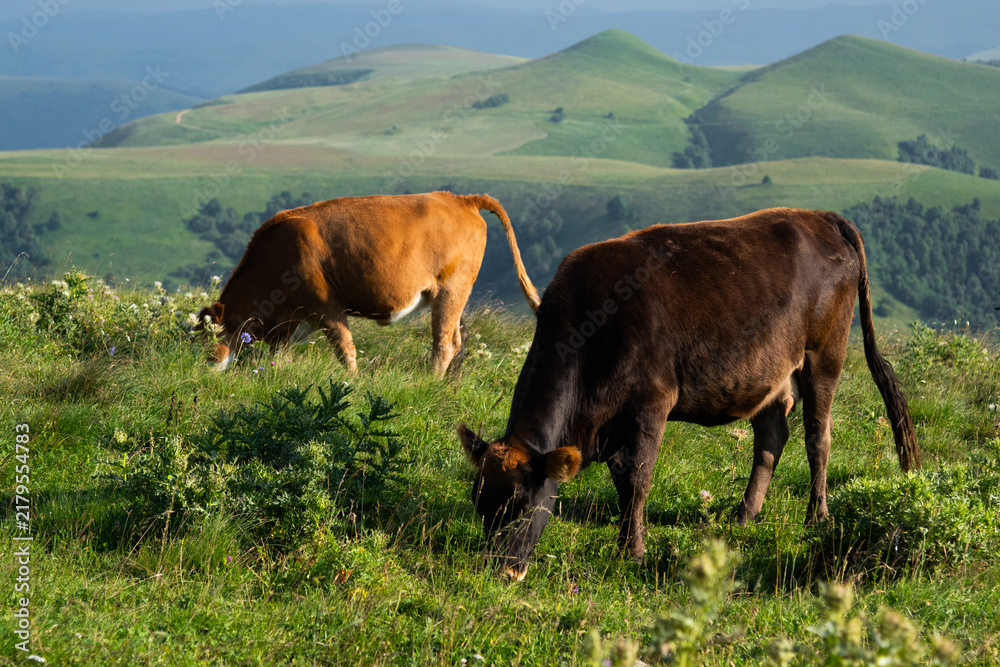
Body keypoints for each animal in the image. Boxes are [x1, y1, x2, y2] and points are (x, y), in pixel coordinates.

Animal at [197, 191, 540, 377]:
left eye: (209, 334)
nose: (204, 364)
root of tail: (461, 199)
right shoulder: (292, 321)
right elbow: (280, 354)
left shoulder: (326, 306)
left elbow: (344, 348)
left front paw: (352, 381)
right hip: (452, 294)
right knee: (458, 338)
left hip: (451, 290)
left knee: (444, 344)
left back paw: (429, 381)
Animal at [458, 207, 919, 581]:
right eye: (480, 504)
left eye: (522, 505)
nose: (502, 571)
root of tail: (821, 217)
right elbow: (623, 478)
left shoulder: (651, 402)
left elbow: (636, 478)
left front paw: (632, 552)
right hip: (768, 371)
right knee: (771, 438)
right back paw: (744, 516)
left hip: (824, 354)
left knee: (818, 438)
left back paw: (816, 518)